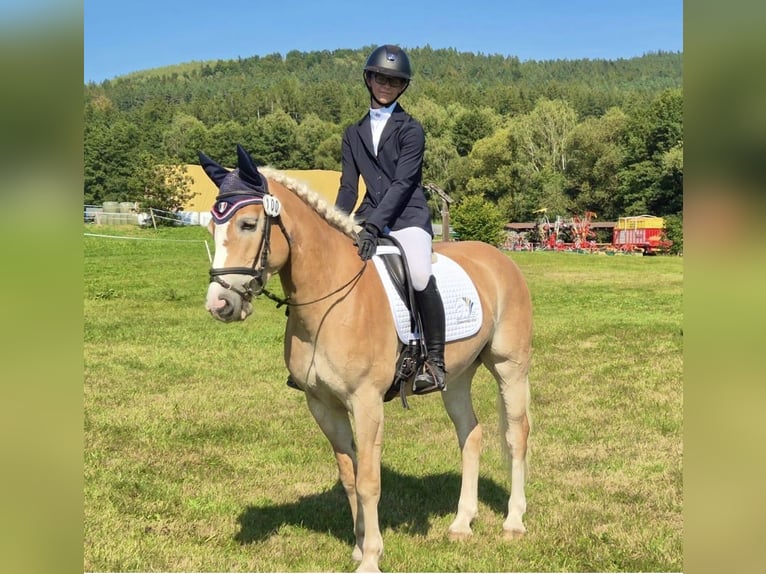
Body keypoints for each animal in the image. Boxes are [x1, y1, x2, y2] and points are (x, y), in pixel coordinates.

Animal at [201, 146, 532, 572]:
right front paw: (358, 546)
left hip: (510, 367)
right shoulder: (323, 405)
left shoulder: (366, 402)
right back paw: (461, 523)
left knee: (516, 435)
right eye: (212, 228)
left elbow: (369, 481)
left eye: (248, 223)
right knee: (470, 434)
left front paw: (371, 557)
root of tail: (500, 258)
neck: (330, 298)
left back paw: (514, 522)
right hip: (456, 378)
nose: (220, 304)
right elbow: (349, 476)